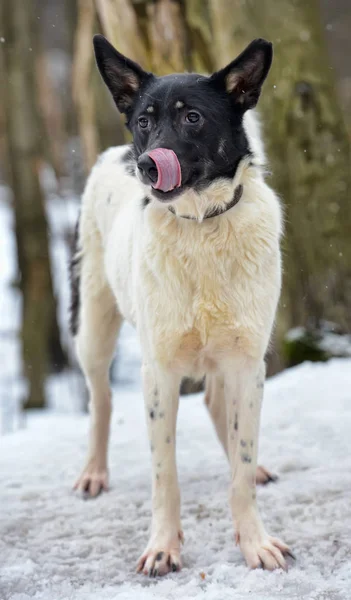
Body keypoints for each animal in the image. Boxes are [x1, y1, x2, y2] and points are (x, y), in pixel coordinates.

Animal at [70, 34, 292, 576]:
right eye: (144, 121)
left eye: (192, 117)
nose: (149, 163)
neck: (201, 223)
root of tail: (115, 153)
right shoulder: (159, 371)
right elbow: (163, 472)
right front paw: (163, 547)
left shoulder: (248, 362)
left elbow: (242, 463)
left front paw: (254, 542)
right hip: (94, 324)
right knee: (101, 398)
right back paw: (93, 472)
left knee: (218, 409)